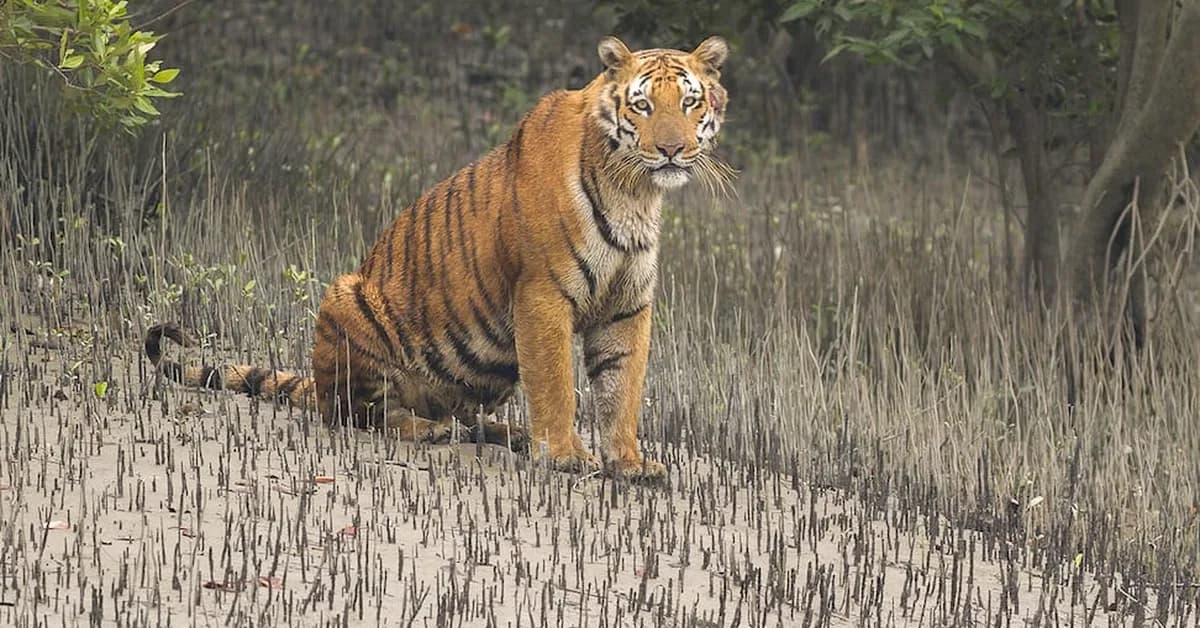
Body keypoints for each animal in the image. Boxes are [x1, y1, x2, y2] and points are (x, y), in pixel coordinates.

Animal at [145, 35, 733, 480]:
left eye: (689, 102)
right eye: (642, 105)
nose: (671, 151)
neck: (636, 193)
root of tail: (315, 379)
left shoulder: (626, 308)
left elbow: (621, 388)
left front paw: (628, 462)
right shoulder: (542, 295)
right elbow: (555, 384)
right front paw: (565, 455)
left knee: (464, 416)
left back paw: (508, 433)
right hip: (347, 299)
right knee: (358, 413)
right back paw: (427, 430)